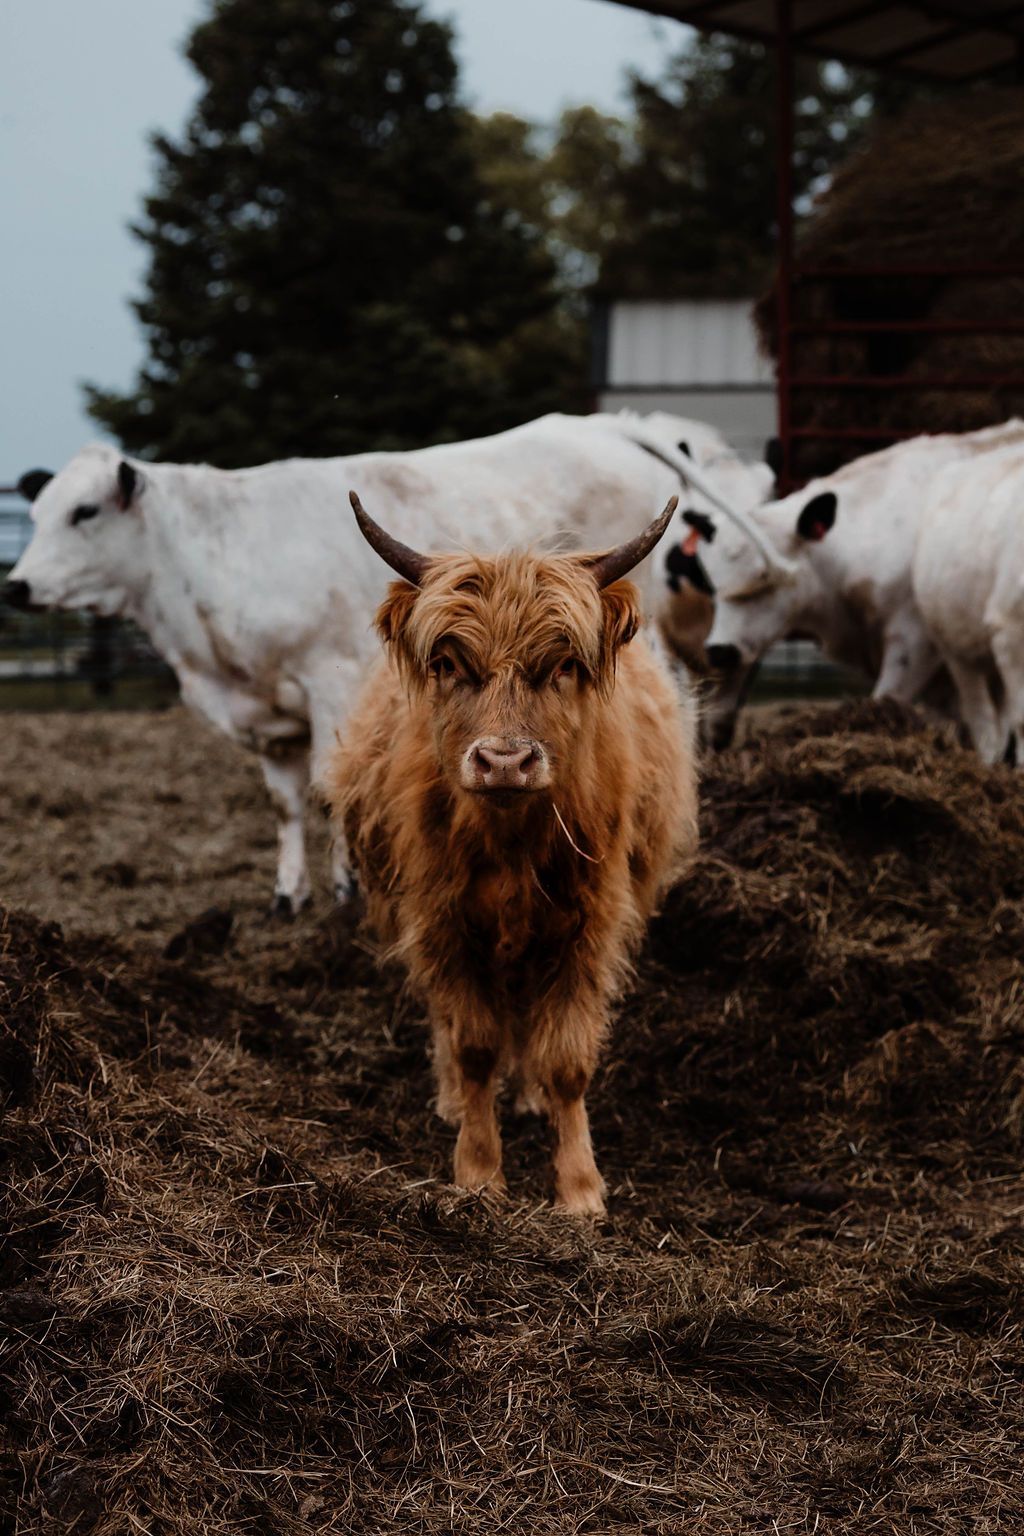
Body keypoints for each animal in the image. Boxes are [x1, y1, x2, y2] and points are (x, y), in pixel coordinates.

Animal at [4, 413, 761, 913]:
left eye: (85, 511)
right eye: (37, 513)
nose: (16, 585)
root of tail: (603, 424)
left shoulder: (329, 681)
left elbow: (331, 789)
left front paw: (347, 891)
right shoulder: (266, 713)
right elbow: (284, 802)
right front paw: (289, 893)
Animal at [326, 493, 698, 1215]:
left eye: (564, 666)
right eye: (448, 664)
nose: (503, 761)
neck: (511, 846)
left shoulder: (589, 924)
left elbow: (568, 1060)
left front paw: (580, 1188)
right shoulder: (441, 921)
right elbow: (472, 1044)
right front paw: (478, 1172)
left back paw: (529, 1098)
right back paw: (453, 1099)